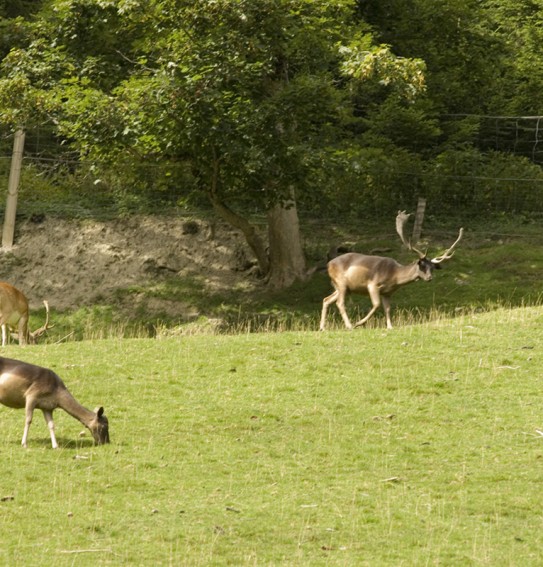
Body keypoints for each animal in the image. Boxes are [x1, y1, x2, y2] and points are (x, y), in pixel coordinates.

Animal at [320, 211, 466, 330]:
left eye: (432, 268)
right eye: (422, 265)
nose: (430, 278)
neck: (394, 277)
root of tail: (328, 264)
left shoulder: (387, 292)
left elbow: (388, 308)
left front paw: (390, 326)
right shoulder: (372, 284)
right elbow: (376, 304)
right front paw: (359, 323)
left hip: (342, 287)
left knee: (326, 299)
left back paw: (322, 328)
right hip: (341, 282)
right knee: (340, 303)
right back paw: (349, 325)